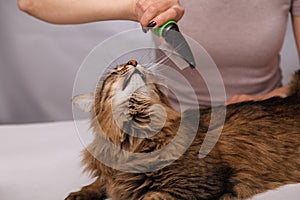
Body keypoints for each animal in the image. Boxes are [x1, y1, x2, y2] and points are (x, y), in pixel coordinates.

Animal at [66, 60, 300, 199]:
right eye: (114, 72)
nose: (133, 61)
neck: (135, 140)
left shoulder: (191, 185)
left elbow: (150, 196)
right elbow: (100, 183)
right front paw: (79, 194)